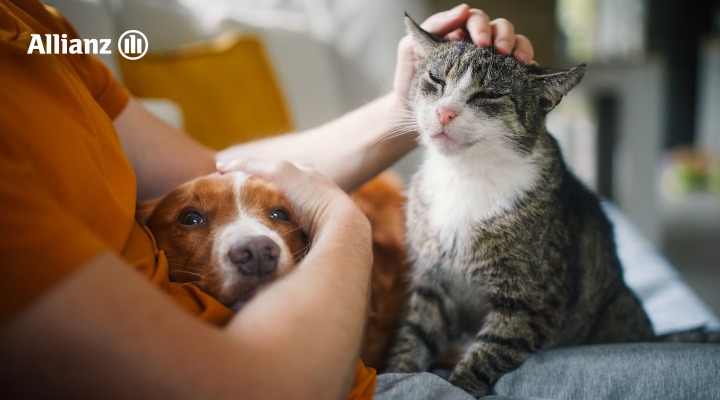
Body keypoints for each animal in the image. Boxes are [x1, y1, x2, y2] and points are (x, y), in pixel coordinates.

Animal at [388, 16, 660, 396]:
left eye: (489, 94)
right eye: (436, 79)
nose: (444, 113)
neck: (466, 176)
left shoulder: (530, 301)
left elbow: (486, 354)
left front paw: (458, 386)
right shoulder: (432, 285)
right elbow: (413, 338)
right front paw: (396, 374)